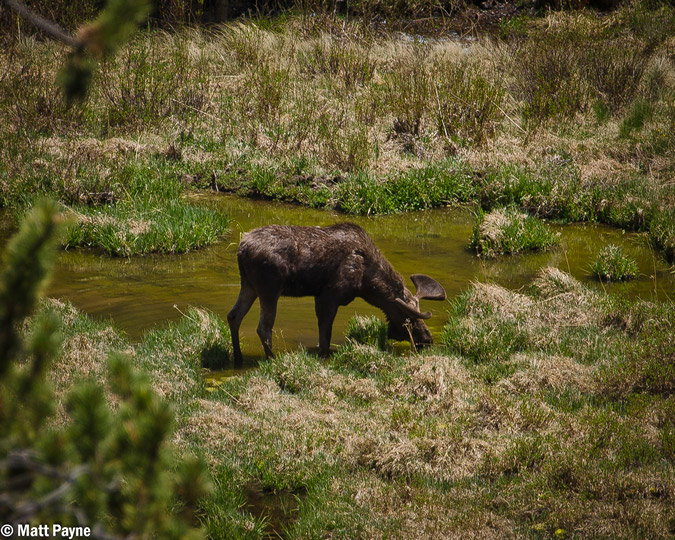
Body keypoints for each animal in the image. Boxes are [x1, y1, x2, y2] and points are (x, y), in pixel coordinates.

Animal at [228, 221, 448, 364]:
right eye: (409, 319)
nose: (427, 339)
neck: (366, 284)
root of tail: (241, 249)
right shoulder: (329, 295)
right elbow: (325, 335)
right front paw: (323, 358)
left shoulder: (321, 296)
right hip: (269, 288)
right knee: (263, 328)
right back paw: (272, 359)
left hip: (248, 285)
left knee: (233, 316)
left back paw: (238, 359)